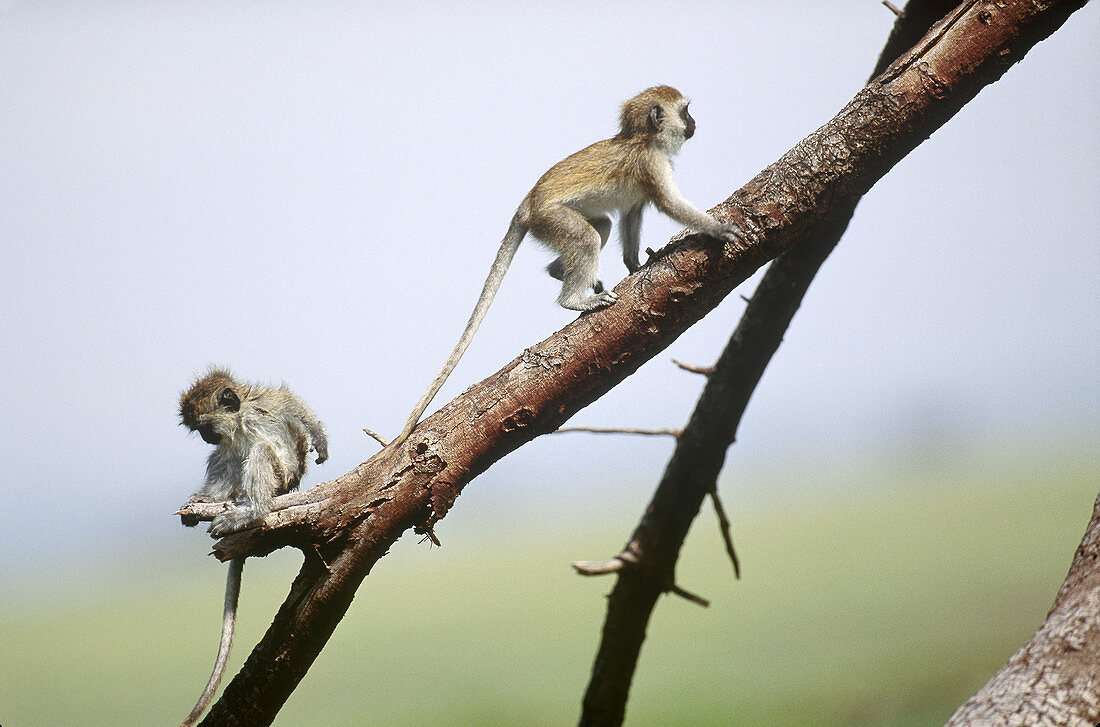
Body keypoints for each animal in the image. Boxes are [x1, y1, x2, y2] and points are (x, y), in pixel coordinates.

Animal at [176, 369, 325, 725]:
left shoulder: (269, 405)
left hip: (279, 478)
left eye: (204, 428)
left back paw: (252, 511)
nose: (206, 439)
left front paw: (320, 440)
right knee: (227, 460)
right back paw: (215, 503)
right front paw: (200, 502)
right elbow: (224, 457)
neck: (241, 421)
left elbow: (295, 407)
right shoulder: (230, 439)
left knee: (259, 452)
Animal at [396, 87, 739, 444]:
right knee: (587, 238)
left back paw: (561, 273)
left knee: (601, 226)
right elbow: (670, 204)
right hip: (551, 219)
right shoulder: (652, 166)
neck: (642, 140)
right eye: (685, 112)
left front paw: (636, 265)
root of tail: (528, 202)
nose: (694, 123)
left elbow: (631, 213)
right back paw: (574, 299)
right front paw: (717, 229)